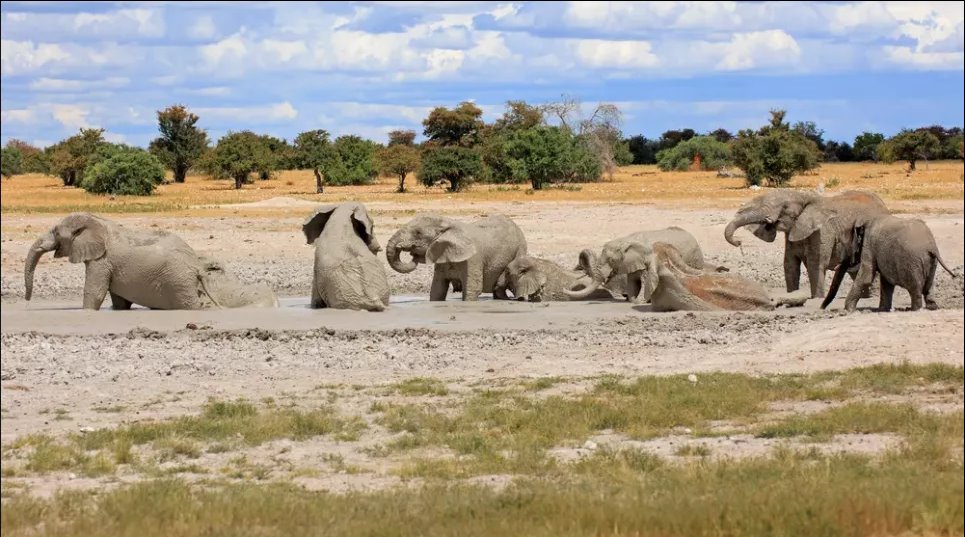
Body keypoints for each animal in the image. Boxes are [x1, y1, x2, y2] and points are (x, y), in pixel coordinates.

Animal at [23, 210, 278, 308]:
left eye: (56, 233)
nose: (27, 300)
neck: (99, 221)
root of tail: (195, 268)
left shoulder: (102, 261)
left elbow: (94, 293)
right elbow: (119, 300)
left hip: (178, 282)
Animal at [386, 213, 528, 302]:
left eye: (418, 233)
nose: (413, 255)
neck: (447, 223)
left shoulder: (473, 259)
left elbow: (472, 290)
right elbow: (437, 289)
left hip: (521, 248)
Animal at [560, 227, 712, 302]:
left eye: (611, 261)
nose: (563, 289)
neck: (625, 240)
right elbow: (633, 281)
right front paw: (631, 300)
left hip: (695, 259)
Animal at [724, 188, 888, 298]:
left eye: (784, 207)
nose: (738, 242)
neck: (804, 196)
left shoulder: (822, 232)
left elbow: (815, 265)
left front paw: (817, 299)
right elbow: (790, 265)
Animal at [820, 215, 956, 312]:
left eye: (846, 247)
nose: (821, 308)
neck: (864, 221)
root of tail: (931, 247)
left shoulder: (869, 245)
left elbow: (866, 277)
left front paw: (848, 310)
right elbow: (886, 282)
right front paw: (882, 309)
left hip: (913, 263)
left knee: (915, 288)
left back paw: (913, 309)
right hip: (931, 262)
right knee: (928, 286)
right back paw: (932, 307)